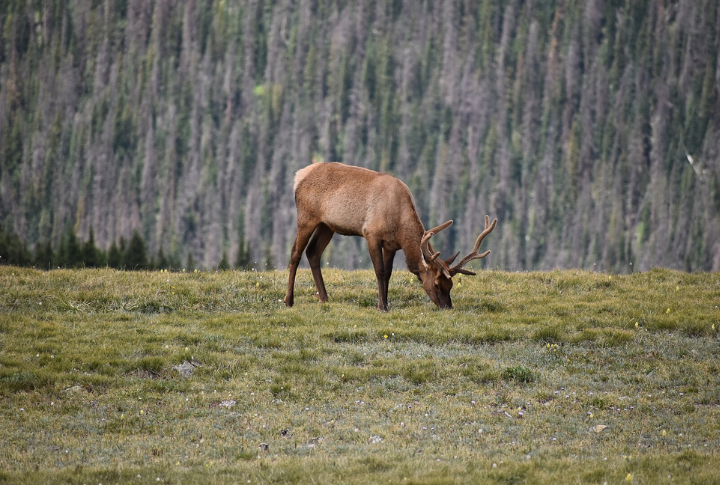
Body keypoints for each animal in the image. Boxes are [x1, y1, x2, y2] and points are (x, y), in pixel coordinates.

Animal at [284, 162, 497, 311]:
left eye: (451, 285)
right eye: (436, 285)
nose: (448, 307)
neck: (399, 224)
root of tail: (298, 176)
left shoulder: (391, 244)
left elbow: (388, 273)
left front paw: (385, 303)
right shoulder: (371, 234)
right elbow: (379, 271)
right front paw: (381, 306)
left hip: (327, 225)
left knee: (313, 252)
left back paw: (324, 297)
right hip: (307, 217)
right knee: (295, 254)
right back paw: (289, 300)